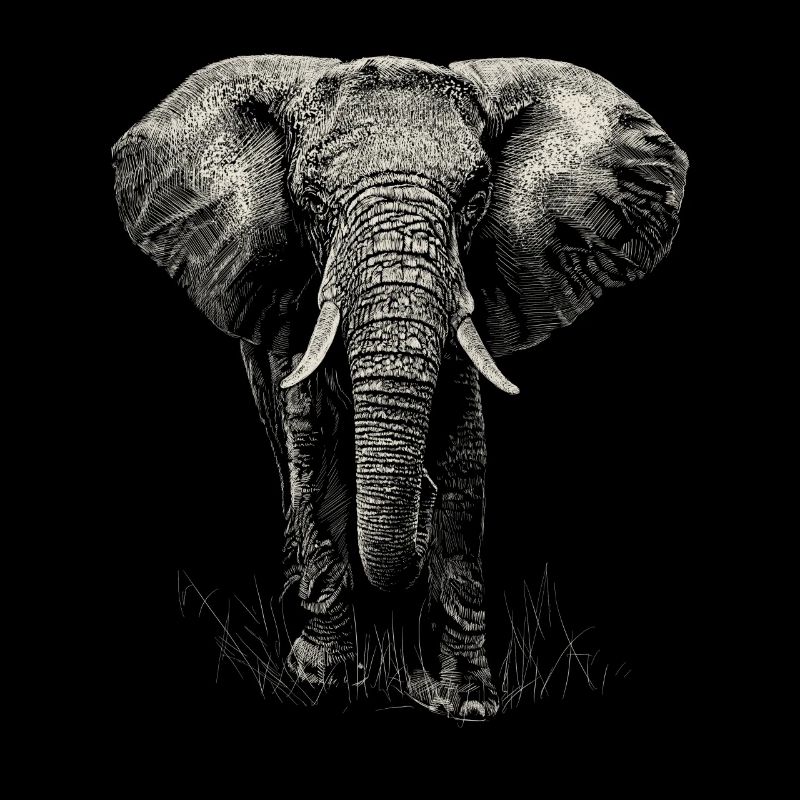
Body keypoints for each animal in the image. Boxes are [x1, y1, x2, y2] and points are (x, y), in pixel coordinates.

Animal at [113, 55, 688, 719]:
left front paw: (464, 700)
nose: (419, 501)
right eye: (309, 200)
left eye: (476, 196)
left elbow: (465, 457)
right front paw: (323, 681)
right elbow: (313, 444)